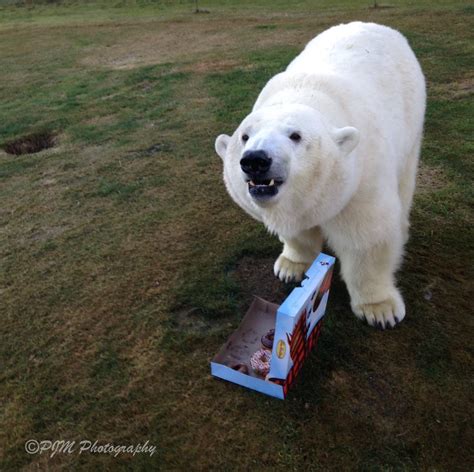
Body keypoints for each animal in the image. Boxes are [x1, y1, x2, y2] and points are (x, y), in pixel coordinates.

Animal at [215, 22, 426, 330]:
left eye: (295, 135)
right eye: (245, 136)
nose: (255, 161)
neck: (304, 92)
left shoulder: (361, 177)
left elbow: (368, 237)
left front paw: (380, 309)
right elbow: (298, 233)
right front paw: (290, 267)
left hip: (412, 120)